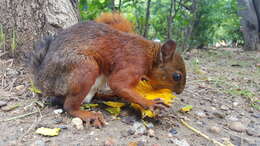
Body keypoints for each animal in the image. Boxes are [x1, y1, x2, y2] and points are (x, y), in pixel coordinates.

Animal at [30, 13, 185, 128]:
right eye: (177, 76)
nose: (180, 92)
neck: (149, 54)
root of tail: (43, 82)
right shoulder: (134, 62)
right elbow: (118, 83)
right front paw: (150, 103)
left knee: (92, 96)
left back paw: (108, 95)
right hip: (85, 68)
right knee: (69, 106)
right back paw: (89, 115)